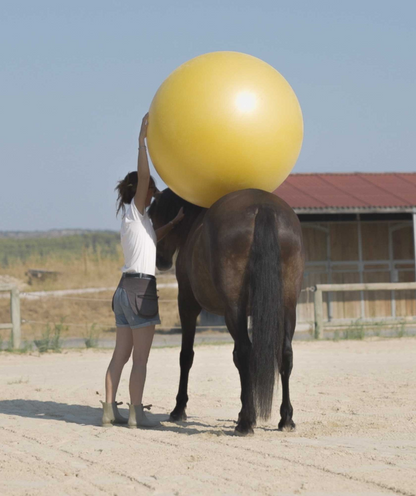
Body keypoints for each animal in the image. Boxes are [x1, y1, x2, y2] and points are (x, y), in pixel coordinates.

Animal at [148, 188, 304, 436]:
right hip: (287, 306)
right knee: (285, 354)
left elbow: (186, 356)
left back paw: (246, 423)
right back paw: (285, 419)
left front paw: (179, 408)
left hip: (233, 310)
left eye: (154, 215)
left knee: (245, 352)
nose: (160, 260)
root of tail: (263, 207)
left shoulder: (187, 303)